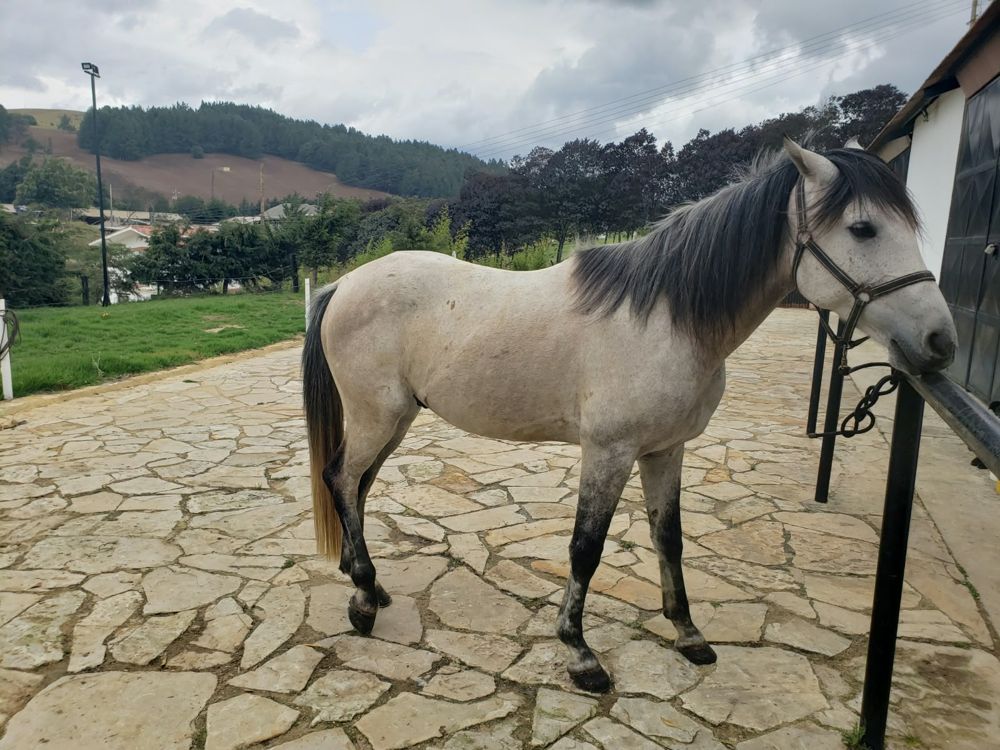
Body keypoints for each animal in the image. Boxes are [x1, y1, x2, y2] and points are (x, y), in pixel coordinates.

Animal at [301, 138, 957, 692]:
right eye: (863, 228)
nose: (940, 342)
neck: (667, 318)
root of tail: (342, 286)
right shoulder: (609, 452)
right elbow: (585, 548)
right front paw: (580, 653)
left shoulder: (665, 450)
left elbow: (670, 537)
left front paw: (687, 633)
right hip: (377, 417)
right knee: (341, 478)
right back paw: (363, 600)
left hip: (396, 420)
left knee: (356, 485)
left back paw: (370, 583)